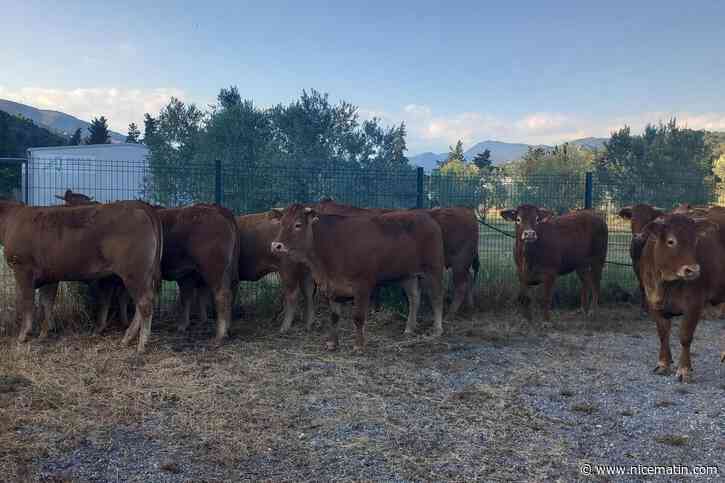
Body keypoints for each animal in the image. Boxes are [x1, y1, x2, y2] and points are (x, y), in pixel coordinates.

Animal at [0, 199, 163, 353]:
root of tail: (138, 205)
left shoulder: (22, 268)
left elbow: (27, 302)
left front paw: (23, 335)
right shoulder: (49, 275)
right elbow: (46, 303)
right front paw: (44, 333)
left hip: (134, 273)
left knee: (145, 304)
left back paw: (141, 345)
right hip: (142, 275)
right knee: (140, 305)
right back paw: (127, 338)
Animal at [270, 204, 445, 352]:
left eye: (298, 224)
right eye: (281, 223)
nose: (276, 245)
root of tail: (425, 216)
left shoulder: (363, 285)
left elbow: (358, 317)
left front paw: (359, 346)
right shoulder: (331, 287)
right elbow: (334, 317)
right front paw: (332, 343)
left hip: (434, 268)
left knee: (436, 298)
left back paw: (437, 329)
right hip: (407, 274)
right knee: (414, 298)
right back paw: (409, 328)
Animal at [315, 199, 480, 315]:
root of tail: (466, 210)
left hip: (460, 261)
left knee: (461, 285)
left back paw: (451, 313)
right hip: (463, 263)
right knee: (469, 279)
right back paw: (470, 306)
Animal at [637, 214, 724, 382]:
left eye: (695, 241)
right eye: (671, 241)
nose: (693, 270)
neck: (664, 284)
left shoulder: (694, 304)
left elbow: (685, 336)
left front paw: (684, 370)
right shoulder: (653, 302)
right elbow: (663, 334)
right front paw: (663, 364)